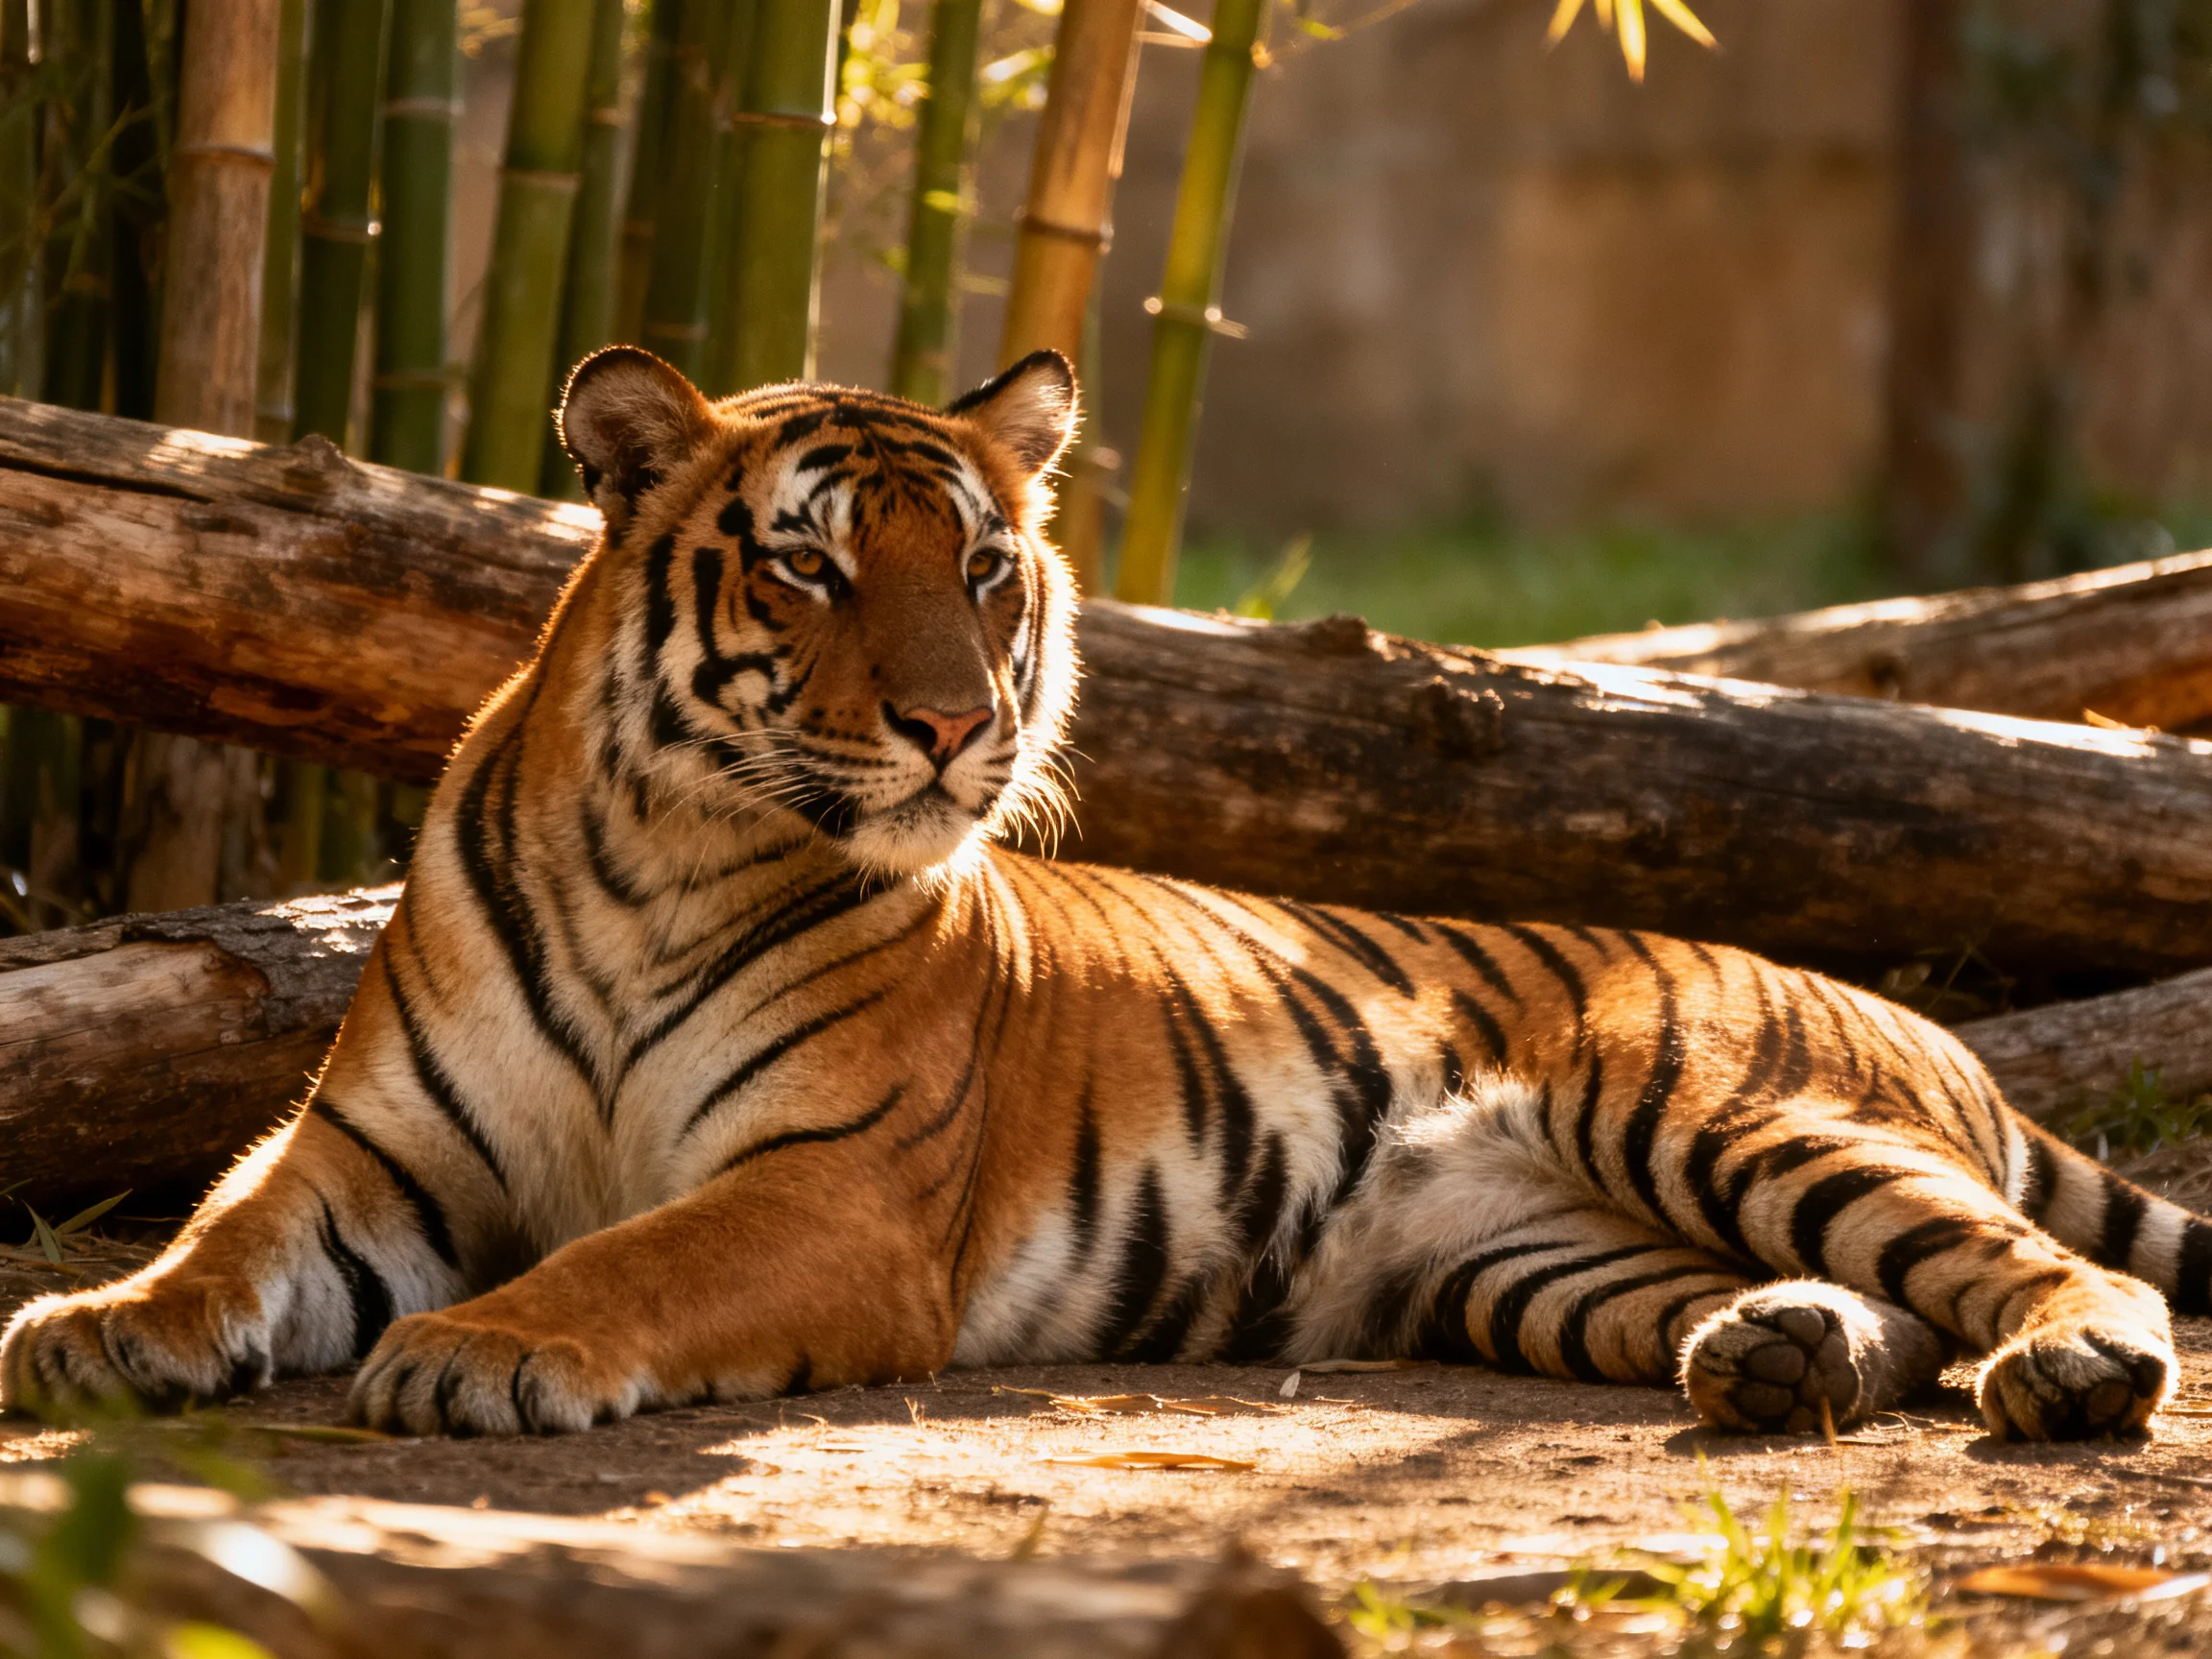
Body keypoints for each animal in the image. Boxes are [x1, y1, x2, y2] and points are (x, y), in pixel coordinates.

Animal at [6, 345, 2207, 1445]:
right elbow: (221, 1238)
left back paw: (2067, 1372)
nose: (952, 725)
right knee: (1871, 1312)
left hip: (1704, 1105)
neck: (659, 857)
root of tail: (1899, 1013)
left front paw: (484, 1353)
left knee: (2025, 1264)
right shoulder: (366, 1150)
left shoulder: (829, 1189)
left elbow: (629, 1258)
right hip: (1528, 1260)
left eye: (984, 568)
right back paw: (1775, 1359)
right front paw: (98, 1330)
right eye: (808, 563)